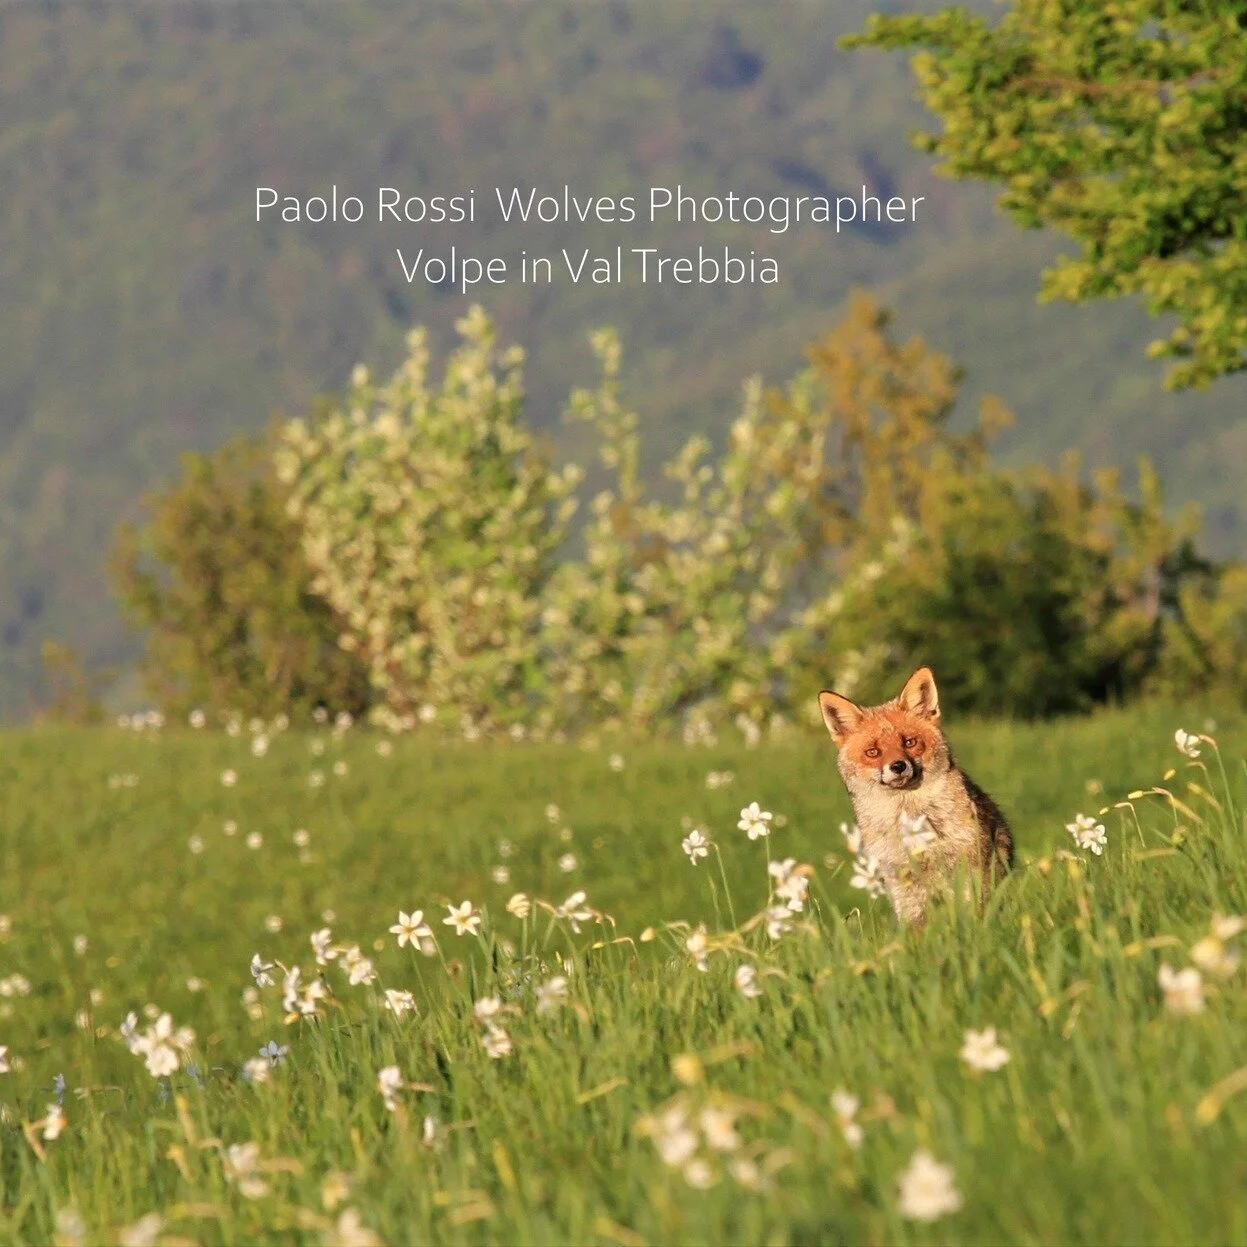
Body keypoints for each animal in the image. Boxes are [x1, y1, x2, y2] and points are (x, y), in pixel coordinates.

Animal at [818, 667, 1013, 925]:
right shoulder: (902, 886)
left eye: (910, 742)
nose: (898, 766)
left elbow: (975, 917)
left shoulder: (970, 868)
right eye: (873, 752)